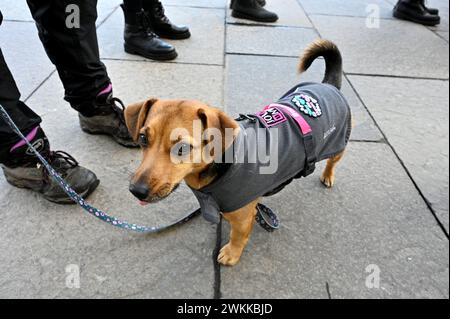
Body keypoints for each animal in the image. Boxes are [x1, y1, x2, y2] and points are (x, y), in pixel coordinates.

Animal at [124, 39, 352, 268]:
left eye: (183, 148)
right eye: (142, 138)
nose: (137, 191)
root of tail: (329, 85)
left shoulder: (242, 217)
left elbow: (238, 236)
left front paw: (231, 254)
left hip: (338, 144)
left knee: (333, 161)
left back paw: (328, 176)